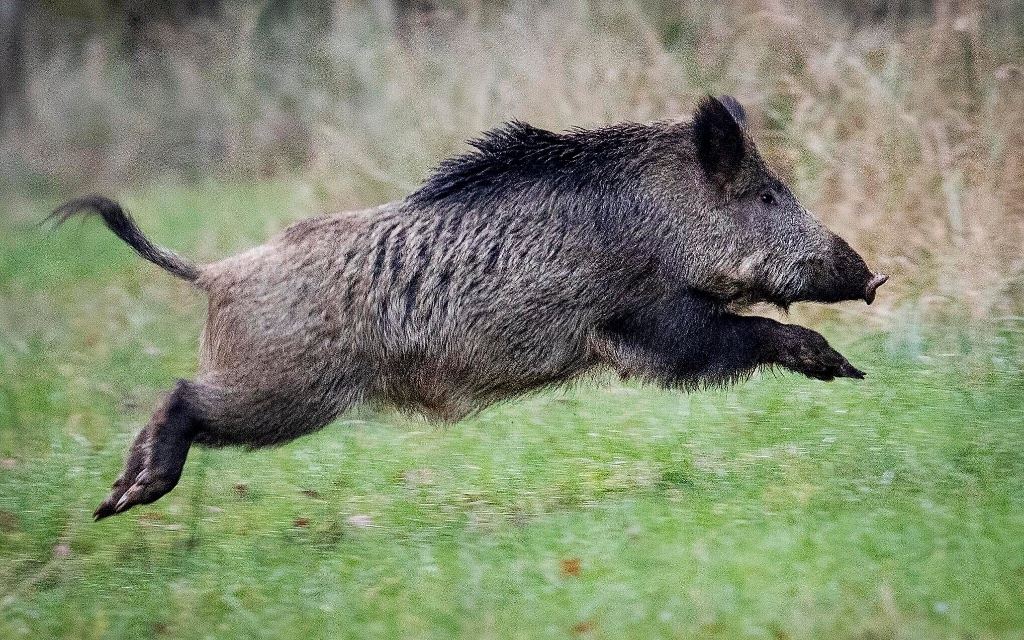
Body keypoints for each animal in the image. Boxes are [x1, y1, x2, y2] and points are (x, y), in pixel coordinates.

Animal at [49, 95, 887, 520]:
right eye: (768, 195)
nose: (874, 278)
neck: (661, 220)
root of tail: (214, 274)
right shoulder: (640, 326)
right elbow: (741, 336)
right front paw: (842, 368)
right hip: (283, 387)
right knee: (182, 397)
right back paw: (121, 502)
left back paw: (113, 500)